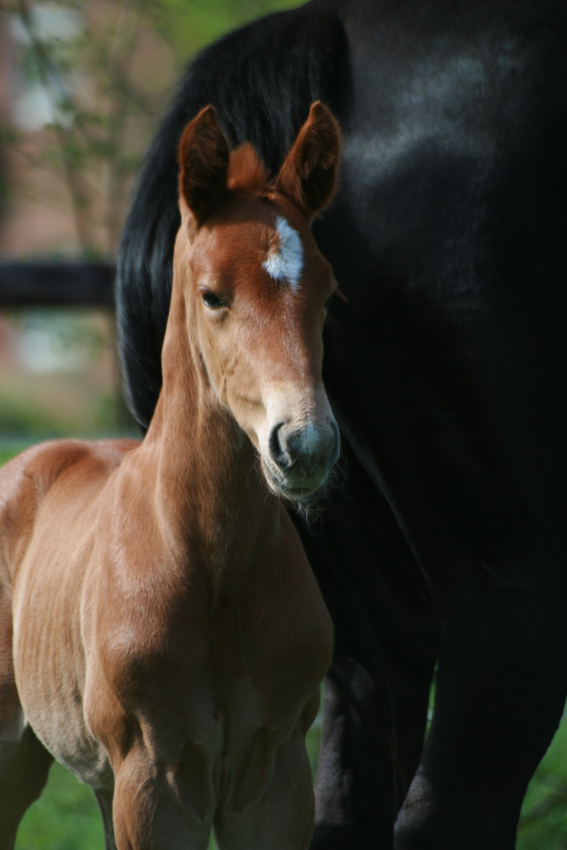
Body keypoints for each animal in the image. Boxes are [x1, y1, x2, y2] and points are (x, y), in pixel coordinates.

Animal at [0, 101, 340, 848]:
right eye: (212, 295)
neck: (212, 564)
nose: (304, 444)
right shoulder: (154, 781)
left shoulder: (275, 779)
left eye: (329, 294)